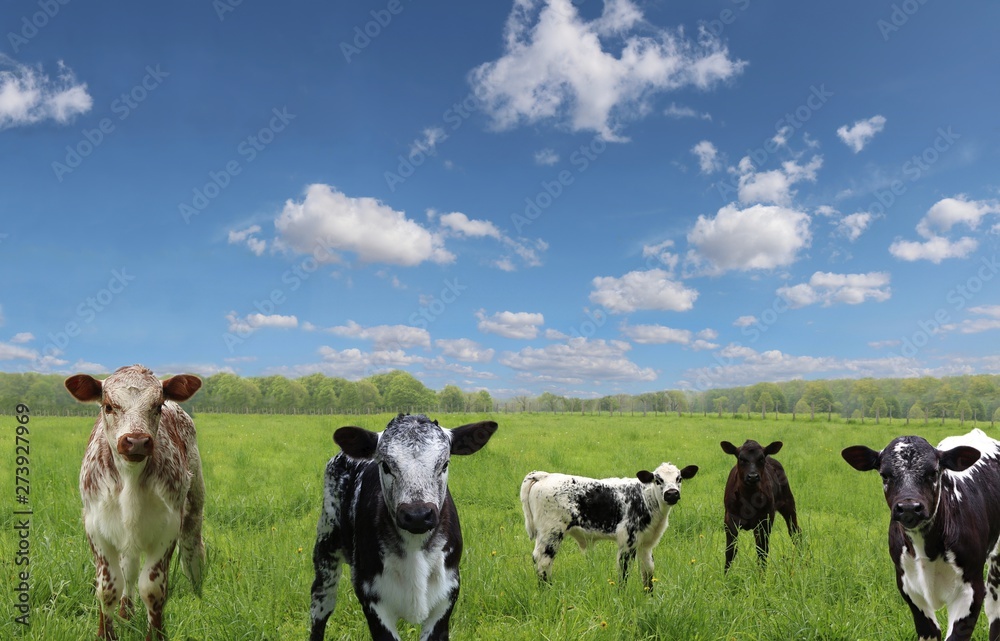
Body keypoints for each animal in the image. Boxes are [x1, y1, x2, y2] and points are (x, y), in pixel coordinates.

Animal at [65, 364, 205, 641]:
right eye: (108, 406)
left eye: (157, 406)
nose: (136, 441)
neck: (130, 478)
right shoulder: (96, 527)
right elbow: (108, 587)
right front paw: (106, 633)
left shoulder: (168, 527)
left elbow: (153, 588)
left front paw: (157, 634)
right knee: (128, 570)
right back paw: (126, 612)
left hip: (194, 505)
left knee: (193, 548)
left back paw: (198, 593)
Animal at [309, 413, 498, 641]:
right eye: (385, 465)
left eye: (444, 464)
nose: (417, 515)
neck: (414, 549)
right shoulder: (370, 595)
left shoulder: (448, 593)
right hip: (325, 546)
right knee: (321, 607)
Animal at [520, 462, 699, 590]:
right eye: (658, 479)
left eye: (679, 478)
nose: (672, 494)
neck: (646, 499)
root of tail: (545, 475)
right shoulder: (627, 542)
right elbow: (624, 572)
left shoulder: (646, 544)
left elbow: (648, 572)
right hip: (551, 533)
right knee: (543, 560)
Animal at [720, 439, 800, 572]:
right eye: (741, 458)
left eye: (761, 458)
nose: (752, 476)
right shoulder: (729, 518)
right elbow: (730, 551)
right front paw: (725, 575)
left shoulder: (765, 519)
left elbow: (762, 550)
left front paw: (762, 576)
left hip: (788, 504)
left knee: (795, 532)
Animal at [842, 428, 1000, 641]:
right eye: (884, 475)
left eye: (933, 472)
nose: (909, 507)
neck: (927, 551)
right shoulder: (908, 587)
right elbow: (930, 630)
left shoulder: (971, 589)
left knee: (994, 610)